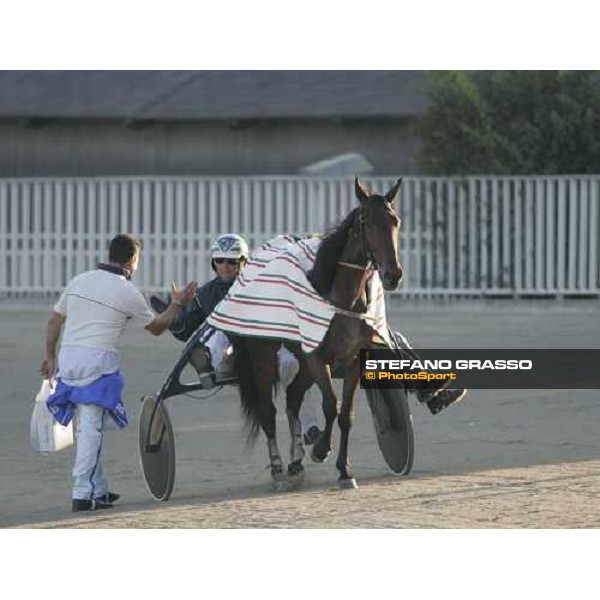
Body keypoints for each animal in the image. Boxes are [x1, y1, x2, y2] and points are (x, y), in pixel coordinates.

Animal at [231, 176, 404, 490]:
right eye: (367, 223)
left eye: (394, 220)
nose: (393, 275)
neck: (342, 300)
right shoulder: (317, 357)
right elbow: (330, 405)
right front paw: (321, 450)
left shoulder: (354, 361)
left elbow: (346, 414)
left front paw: (345, 470)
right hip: (263, 356)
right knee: (268, 412)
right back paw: (278, 469)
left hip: (302, 366)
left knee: (293, 399)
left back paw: (295, 464)